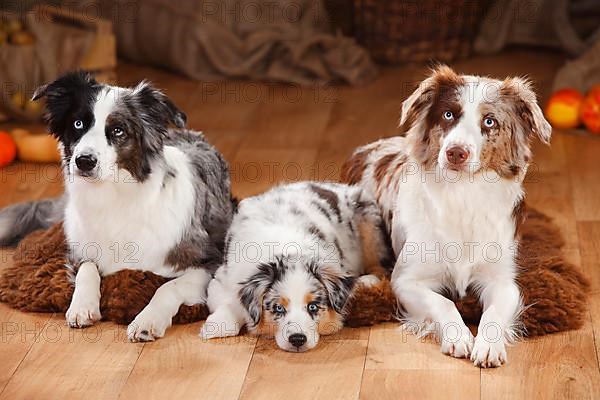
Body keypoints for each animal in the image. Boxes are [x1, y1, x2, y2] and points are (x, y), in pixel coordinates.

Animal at [0, 72, 233, 340]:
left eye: (118, 130)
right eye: (78, 124)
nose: (84, 161)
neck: (112, 195)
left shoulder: (208, 262)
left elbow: (168, 287)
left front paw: (147, 320)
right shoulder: (79, 250)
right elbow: (88, 268)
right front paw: (82, 306)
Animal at [200, 183, 394, 352]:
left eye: (313, 307)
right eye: (278, 308)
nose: (298, 339)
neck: (286, 249)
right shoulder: (220, 280)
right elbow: (231, 302)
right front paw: (215, 326)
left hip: (370, 222)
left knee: (381, 268)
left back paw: (366, 281)